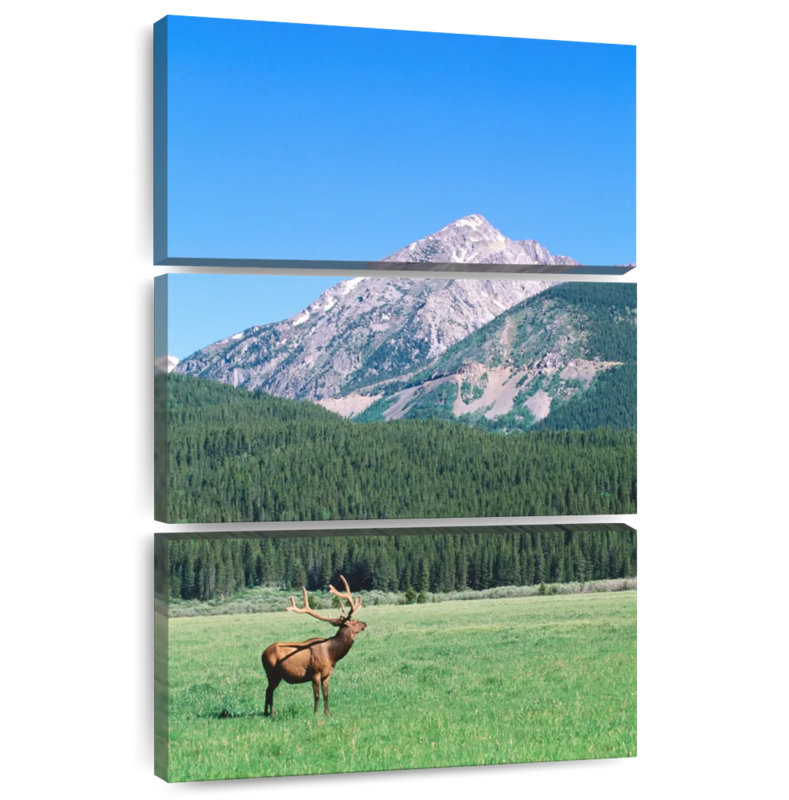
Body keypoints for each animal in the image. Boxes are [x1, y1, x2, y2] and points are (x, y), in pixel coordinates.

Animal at [261, 575, 366, 717]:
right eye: (354, 622)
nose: (365, 624)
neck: (332, 654)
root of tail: (262, 654)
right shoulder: (315, 673)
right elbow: (316, 695)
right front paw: (315, 713)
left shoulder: (327, 675)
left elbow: (326, 694)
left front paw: (327, 713)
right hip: (272, 673)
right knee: (268, 691)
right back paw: (270, 712)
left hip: (275, 675)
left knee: (268, 691)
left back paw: (268, 712)